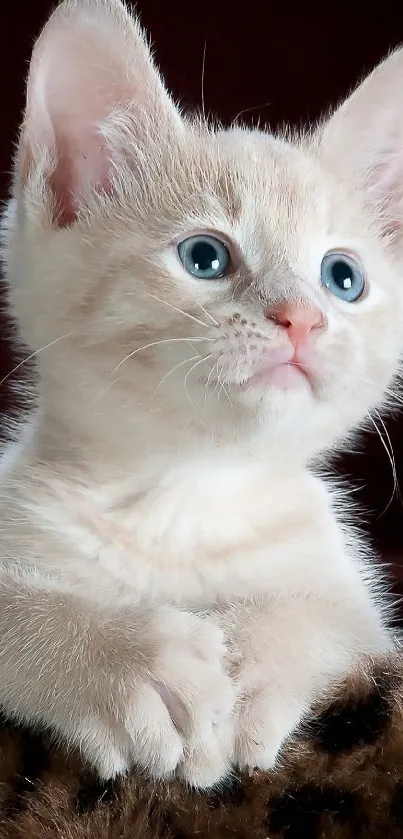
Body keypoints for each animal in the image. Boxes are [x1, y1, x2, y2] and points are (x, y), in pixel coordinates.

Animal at [0, 0, 403, 792]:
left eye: (342, 277)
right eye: (205, 258)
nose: (302, 317)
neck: (182, 495)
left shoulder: (365, 620)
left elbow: (327, 618)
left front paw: (252, 665)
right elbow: (14, 610)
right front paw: (121, 662)